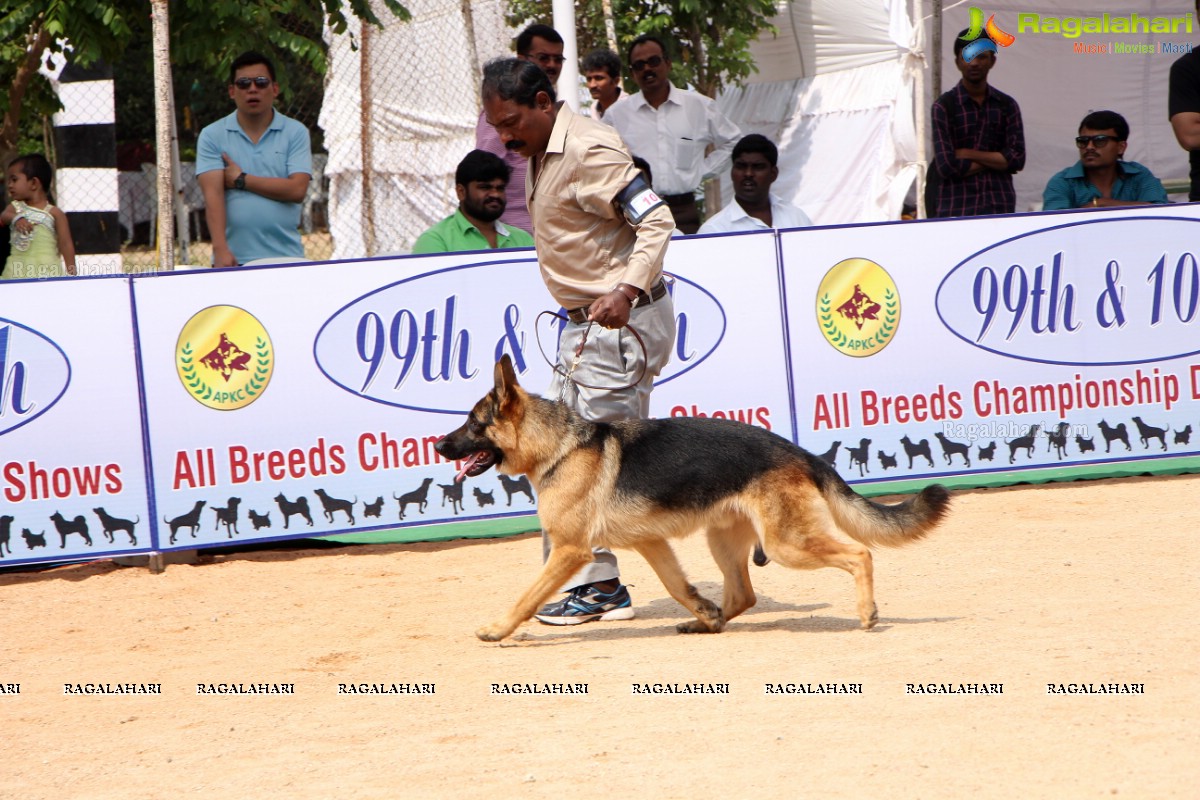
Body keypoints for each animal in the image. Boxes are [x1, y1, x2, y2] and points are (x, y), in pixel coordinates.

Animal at [436, 359, 950, 642]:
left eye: (472, 423)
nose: (439, 446)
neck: (559, 446)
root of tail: (798, 451)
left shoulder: (569, 551)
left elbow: (527, 596)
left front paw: (498, 629)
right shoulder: (651, 543)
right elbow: (677, 587)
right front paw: (703, 612)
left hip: (787, 545)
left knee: (860, 553)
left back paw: (867, 613)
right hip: (724, 541)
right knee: (742, 594)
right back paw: (708, 623)